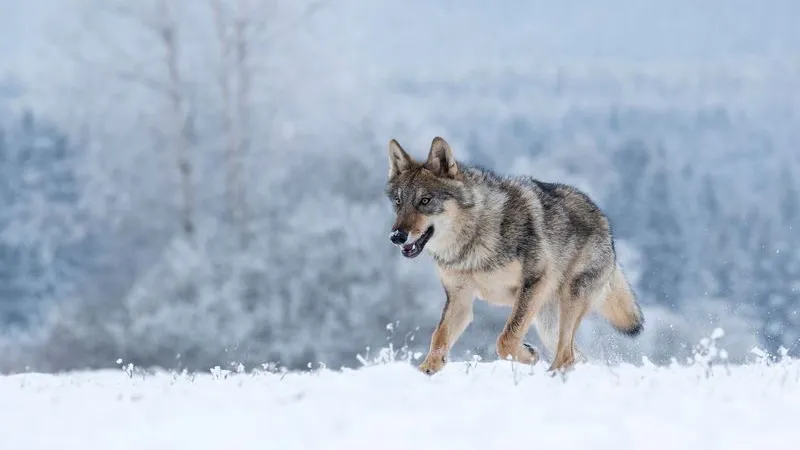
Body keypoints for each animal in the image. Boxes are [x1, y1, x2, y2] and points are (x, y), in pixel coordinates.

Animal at [382, 136, 644, 372]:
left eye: (425, 201)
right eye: (398, 202)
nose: (396, 236)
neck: (473, 238)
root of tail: (604, 221)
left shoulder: (533, 282)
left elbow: (505, 339)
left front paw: (529, 355)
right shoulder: (460, 299)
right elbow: (438, 337)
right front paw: (426, 370)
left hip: (569, 300)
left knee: (566, 355)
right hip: (547, 323)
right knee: (575, 355)